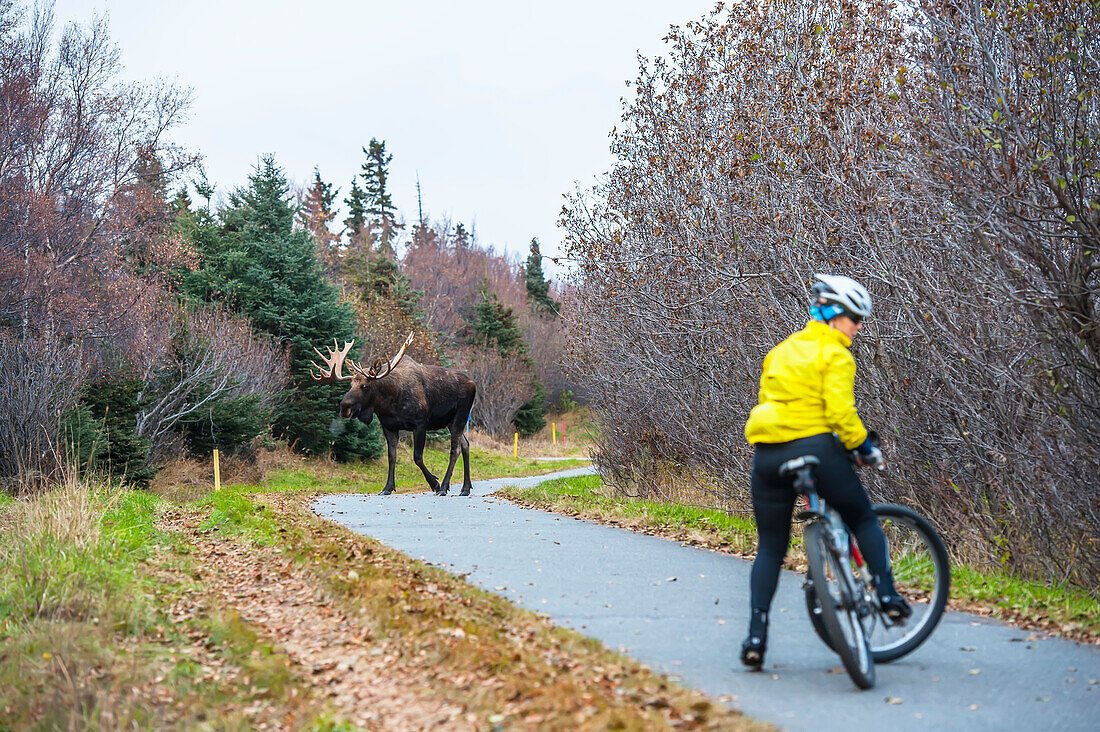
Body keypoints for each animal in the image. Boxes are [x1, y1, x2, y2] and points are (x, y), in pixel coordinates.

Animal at [312, 334, 479, 497]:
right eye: (350, 384)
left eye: (365, 386)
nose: (344, 407)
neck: (389, 403)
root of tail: (473, 383)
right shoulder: (389, 426)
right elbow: (392, 456)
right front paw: (387, 487)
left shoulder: (420, 423)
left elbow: (417, 457)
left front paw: (435, 484)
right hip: (451, 421)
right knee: (465, 445)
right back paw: (465, 488)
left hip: (461, 415)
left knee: (455, 449)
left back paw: (444, 487)